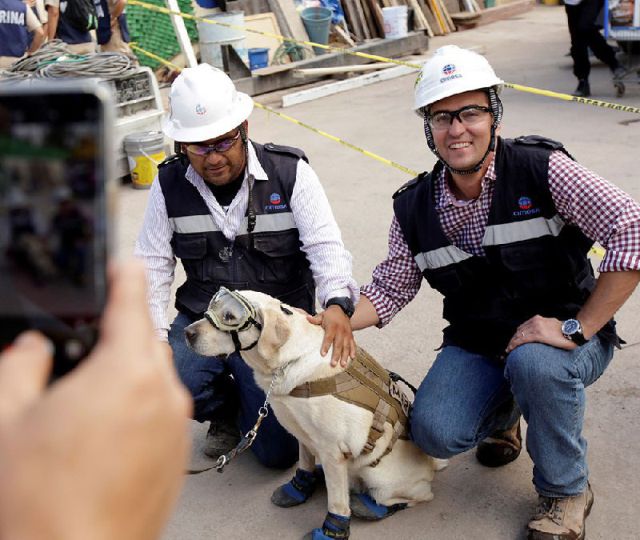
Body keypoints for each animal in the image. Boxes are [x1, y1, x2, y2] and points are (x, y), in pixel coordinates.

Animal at [185, 288, 444, 536]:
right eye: (214, 305)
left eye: (230, 317)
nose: (187, 332)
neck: (288, 361)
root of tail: (432, 465)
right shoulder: (304, 435)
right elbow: (305, 462)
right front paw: (299, 487)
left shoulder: (332, 450)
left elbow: (337, 502)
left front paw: (333, 530)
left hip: (380, 479)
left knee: (418, 496)